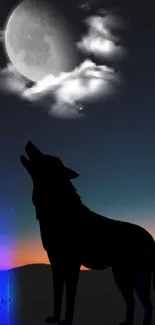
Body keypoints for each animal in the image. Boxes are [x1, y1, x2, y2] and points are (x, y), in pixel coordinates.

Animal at [20, 140, 154, 324]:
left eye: (45, 156)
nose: (29, 142)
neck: (56, 208)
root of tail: (151, 238)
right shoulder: (55, 262)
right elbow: (57, 295)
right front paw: (55, 318)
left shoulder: (72, 263)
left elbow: (70, 298)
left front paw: (66, 321)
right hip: (121, 275)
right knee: (132, 301)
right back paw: (126, 323)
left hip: (136, 276)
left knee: (148, 304)